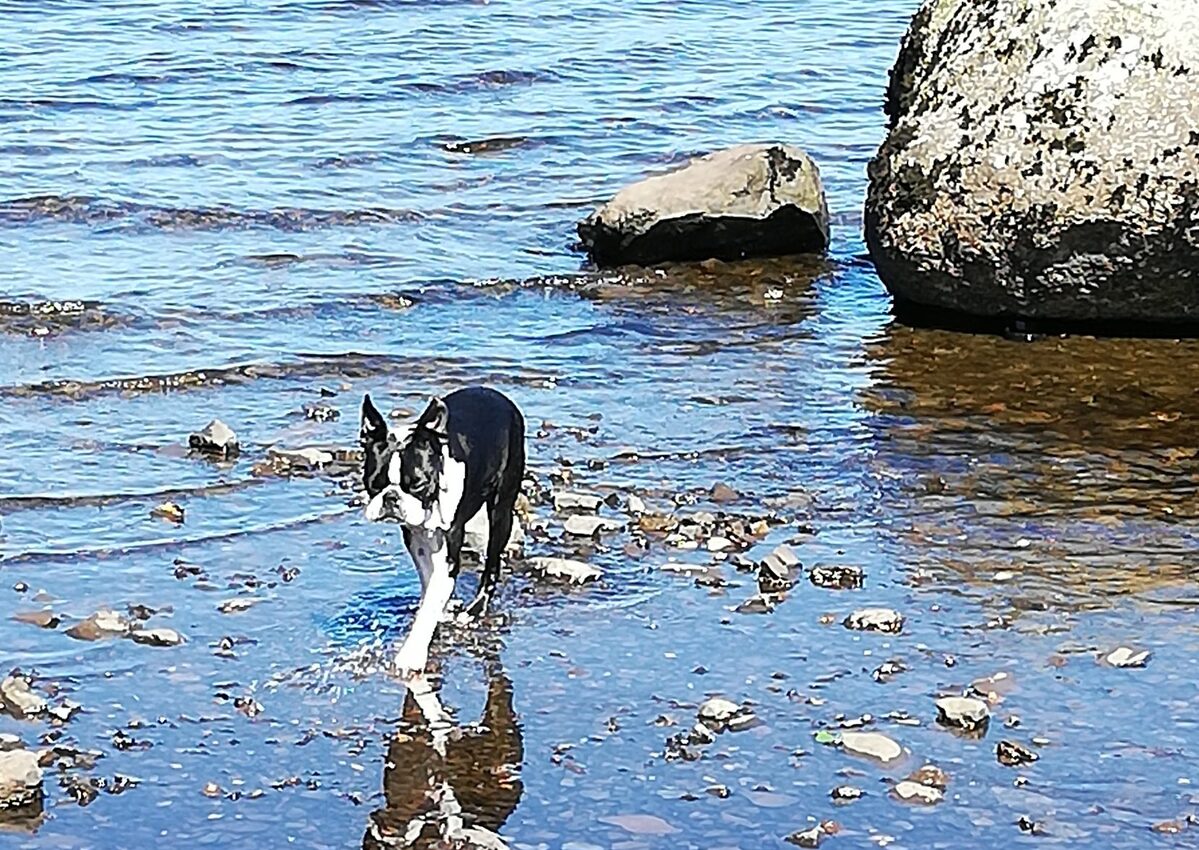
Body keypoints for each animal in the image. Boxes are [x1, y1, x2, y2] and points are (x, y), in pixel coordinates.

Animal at [357, 386, 522, 676]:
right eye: (374, 483)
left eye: (417, 484)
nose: (391, 498)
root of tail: (497, 394)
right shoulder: (416, 537)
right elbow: (428, 579)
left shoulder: (449, 546)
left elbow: (435, 593)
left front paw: (411, 653)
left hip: (501, 508)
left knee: (492, 563)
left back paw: (475, 609)